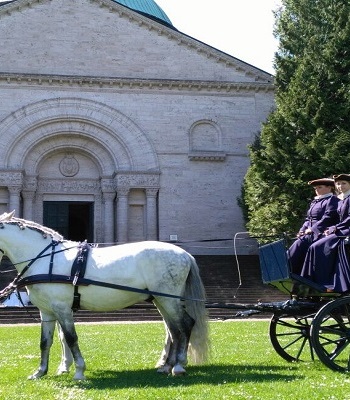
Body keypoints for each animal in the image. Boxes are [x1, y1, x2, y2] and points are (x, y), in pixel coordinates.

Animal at [0, 211, 208, 380]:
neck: (46, 259)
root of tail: (184, 254)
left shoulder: (62, 309)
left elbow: (70, 337)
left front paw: (79, 370)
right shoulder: (47, 312)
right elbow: (46, 341)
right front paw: (40, 371)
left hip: (169, 299)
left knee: (185, 325)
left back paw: (179, 365)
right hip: (161, 300)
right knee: (173, 330)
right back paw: (167, 365)